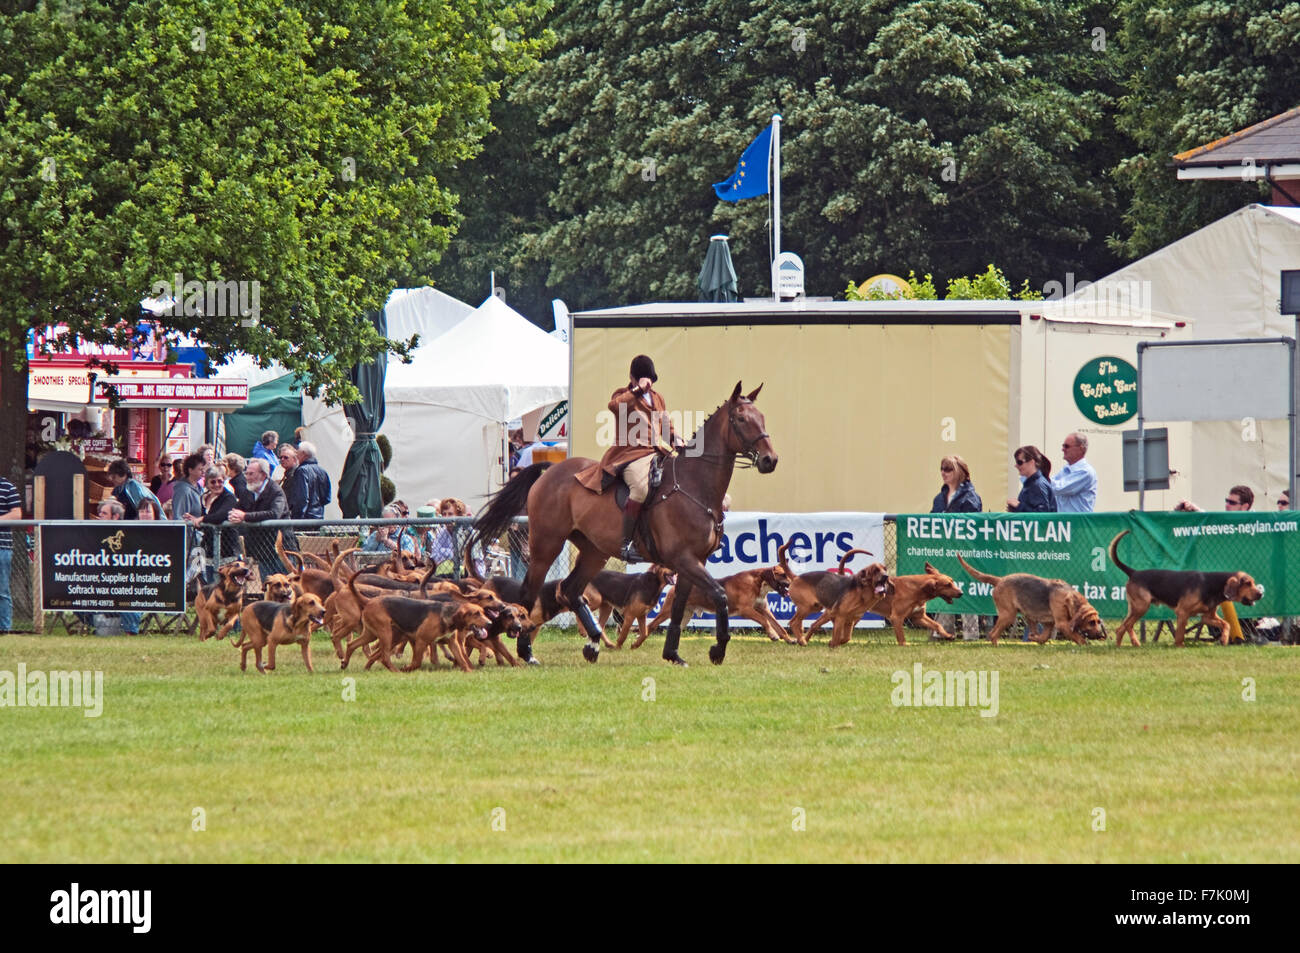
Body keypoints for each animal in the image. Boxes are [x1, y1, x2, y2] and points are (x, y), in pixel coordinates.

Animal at [473, 382, 774, 665]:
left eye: (762, 417)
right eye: (741, 419)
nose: (770, 460)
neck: (694, 486)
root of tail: (551, 470)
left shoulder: (694, 561)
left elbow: (679, 608)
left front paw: (673, 654)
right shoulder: (684, 558)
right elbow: (720, 595)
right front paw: (718, 649)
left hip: (595, 551)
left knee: (571, 589)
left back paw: (593, 643)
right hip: (546, 545)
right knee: (530, 591)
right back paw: (527, 652)